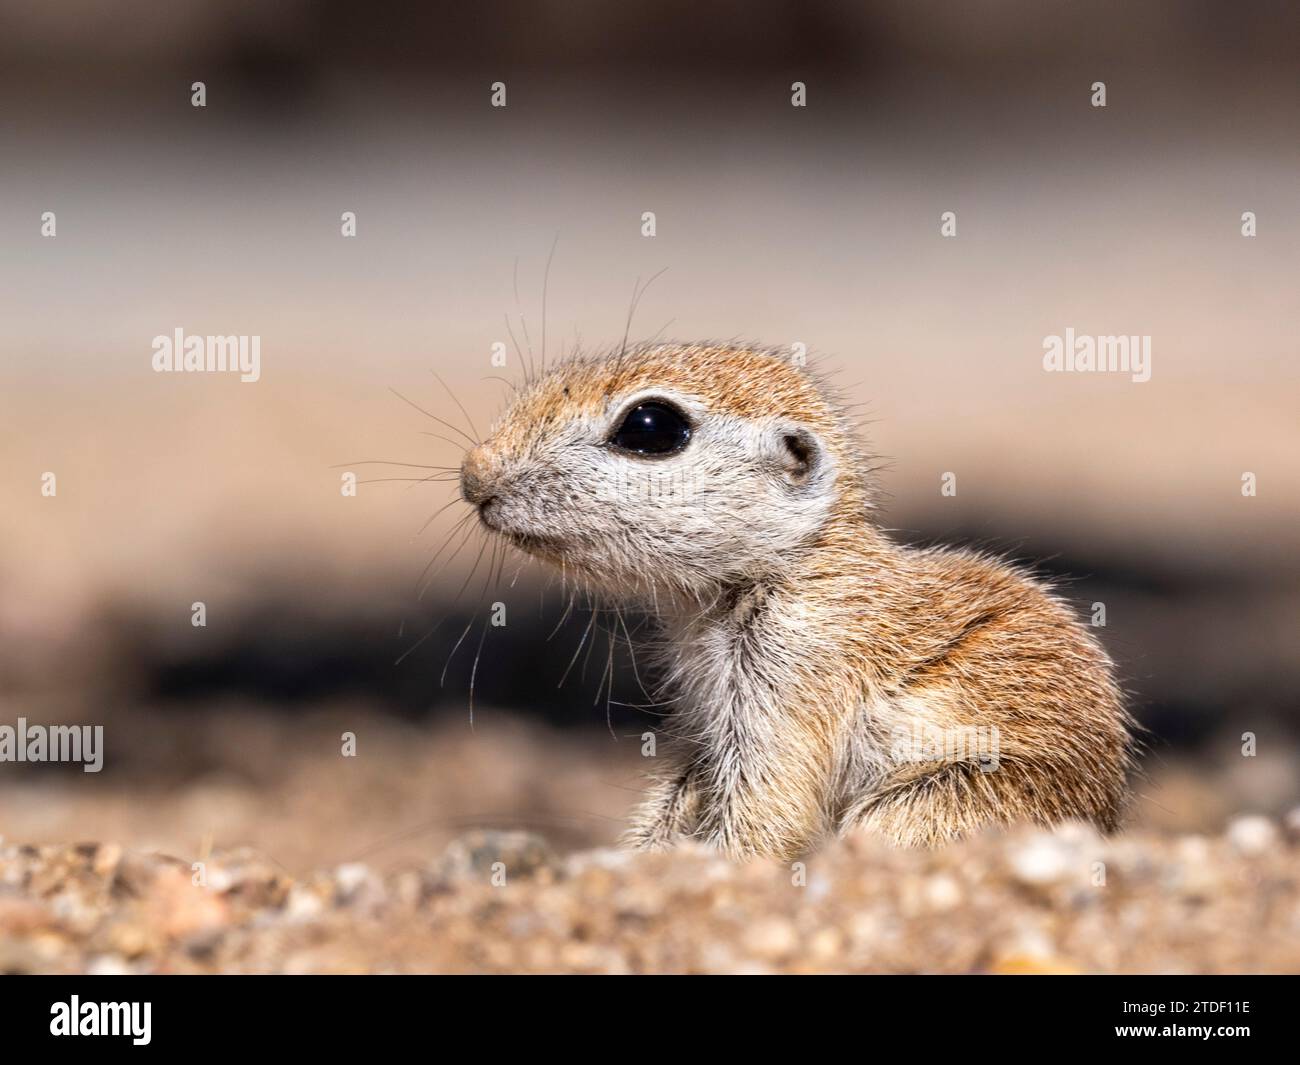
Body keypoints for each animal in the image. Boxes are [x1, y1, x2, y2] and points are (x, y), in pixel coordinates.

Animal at [459, 343, 1133, 861]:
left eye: (651, 427)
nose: (473, 474)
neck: (788, 570)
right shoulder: (706, 717)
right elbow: (679, 791)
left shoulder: (795, 669)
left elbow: (768, 808)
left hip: (942, 801)